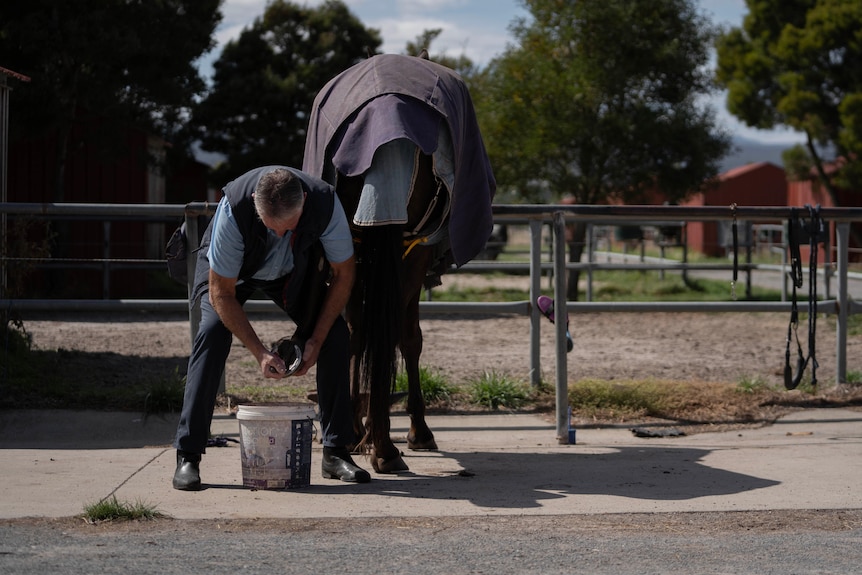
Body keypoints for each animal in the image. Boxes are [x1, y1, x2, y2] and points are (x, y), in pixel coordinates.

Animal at [304, 54, 496, 474]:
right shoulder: (414, 261)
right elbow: (410, 340)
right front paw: (418, 431)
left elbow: (362, 335)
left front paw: (359, 430)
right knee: (389, 333)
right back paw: (384, 447)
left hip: (354, 248)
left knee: (357, 333)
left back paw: (364, 434)